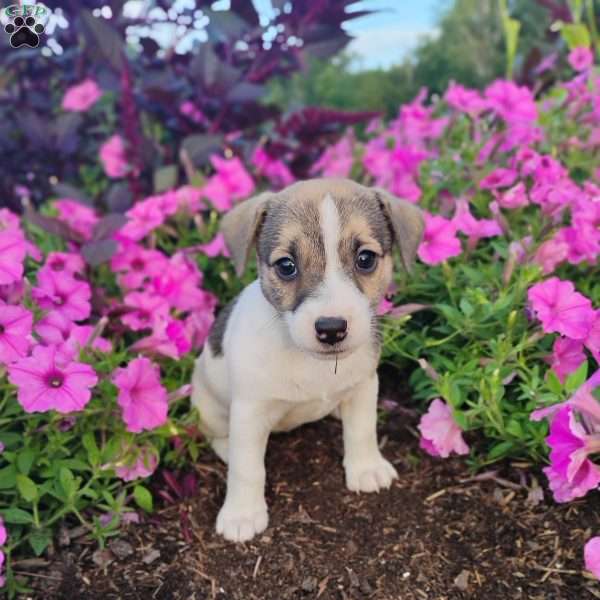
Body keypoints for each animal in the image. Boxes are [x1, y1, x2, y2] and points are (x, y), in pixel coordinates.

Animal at [191, 178, 422, 544]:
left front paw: (366, 467)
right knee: (219, 436)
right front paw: (242, 514)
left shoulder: (364, 385)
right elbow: (247, 469)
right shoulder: (249, 411)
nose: (331, 328)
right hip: (208, 405)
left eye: (366, 259)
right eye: (287, 266)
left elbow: (362, 430)